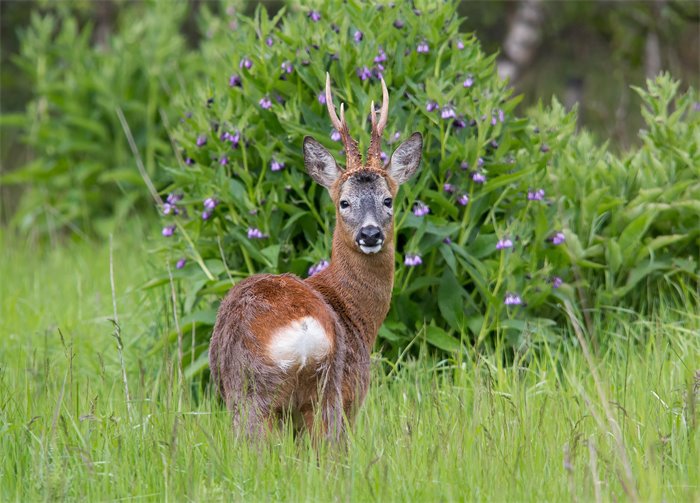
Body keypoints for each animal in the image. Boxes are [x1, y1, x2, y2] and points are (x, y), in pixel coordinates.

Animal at [208, 74, 422, 440]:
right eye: (344, 202)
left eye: (388, 199)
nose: (370, 234)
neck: (353, 309)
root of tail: (304, 332)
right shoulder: (354, 392)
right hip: (297, 393)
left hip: (258, 393)